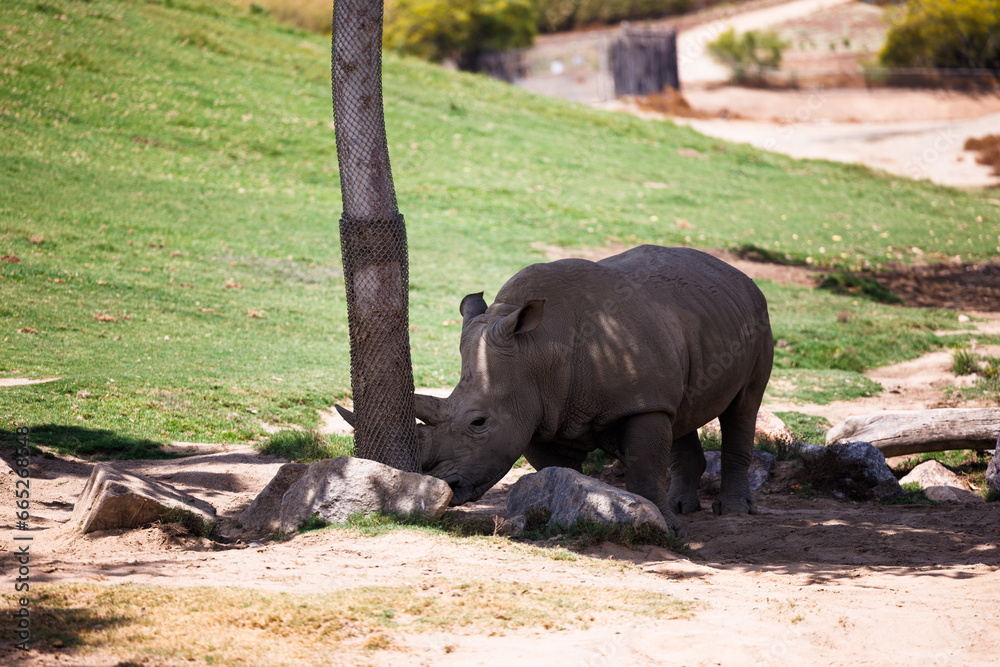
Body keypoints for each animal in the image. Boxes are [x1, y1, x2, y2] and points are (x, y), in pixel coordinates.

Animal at [342, 245, 773, 534]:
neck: (539, 350)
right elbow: (560, 472)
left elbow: (644, 470)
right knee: (683, 410)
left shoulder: (639, 404)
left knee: (743, 407)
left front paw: (665, 529)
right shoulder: (536, 411)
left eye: (479, 422)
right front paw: (575, 511)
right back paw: (685, 506)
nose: (444, 486)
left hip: (758, 314)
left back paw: (733, 511)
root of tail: (734, 272)